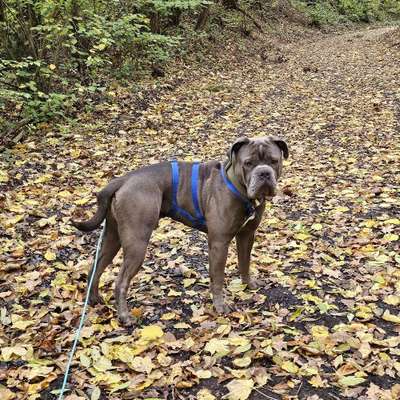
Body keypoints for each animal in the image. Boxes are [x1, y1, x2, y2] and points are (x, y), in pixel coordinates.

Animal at [72, 136, 288, 326]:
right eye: (248, 163)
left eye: (274, 161)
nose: (264, 173)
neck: (237, 185)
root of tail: (123, 180)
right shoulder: (219, 243)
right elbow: (217, 277)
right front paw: (220, 306)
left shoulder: (247, 235)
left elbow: (245, 262)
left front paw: (248, 285)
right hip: (136, 243)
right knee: (121, 281)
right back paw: (125, 316)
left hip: (113, 236)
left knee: (96, 267)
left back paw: (94, 299)